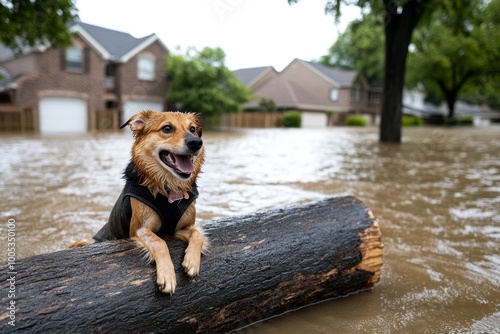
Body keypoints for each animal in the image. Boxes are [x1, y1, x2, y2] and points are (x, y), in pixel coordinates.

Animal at [69, 110, 206, 294]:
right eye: (167, 128)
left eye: (192, 129)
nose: (196, 142)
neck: (168, 188)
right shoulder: (140, 230)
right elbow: (159, 242)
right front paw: (167, 275)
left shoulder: (181, 228)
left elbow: (198, 234)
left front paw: (191, 261)